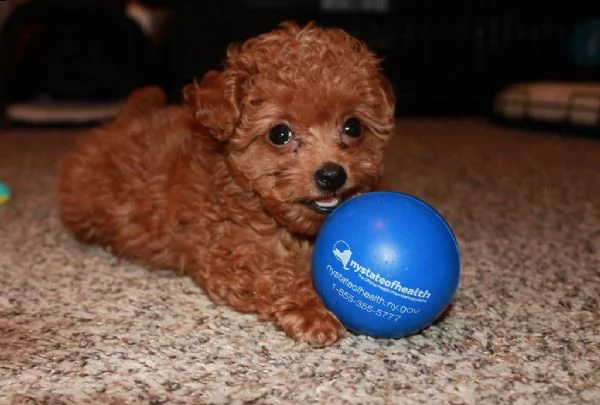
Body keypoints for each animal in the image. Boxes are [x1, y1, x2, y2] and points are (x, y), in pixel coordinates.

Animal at [58, 20, 396, 346]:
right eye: (280, 134)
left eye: (353, 127)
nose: (332, 175)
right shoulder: (231, 255)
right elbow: (276, 274)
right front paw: (311, 309)